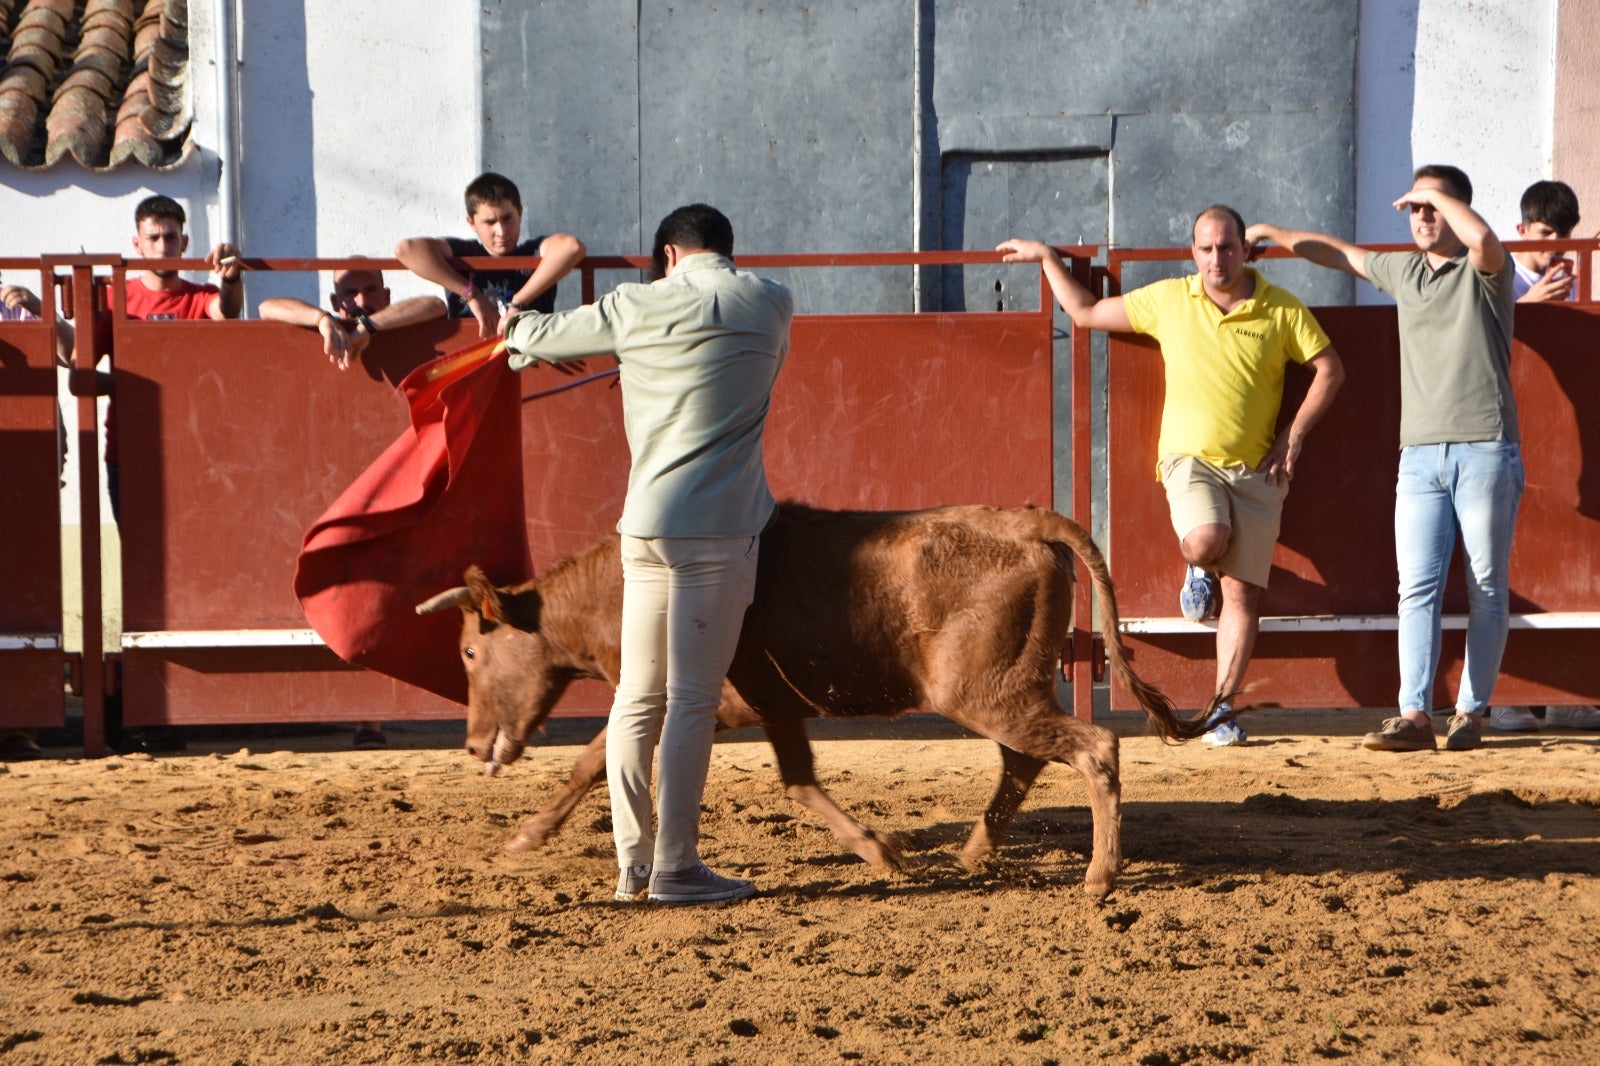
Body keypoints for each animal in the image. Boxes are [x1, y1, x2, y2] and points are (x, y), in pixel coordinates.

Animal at [416, 502, 1209, 889]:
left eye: (469, 651)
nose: (473, 744)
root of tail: (1026, 520)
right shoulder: (772, 707)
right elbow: (796, 778)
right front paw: (881, 850)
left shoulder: (704, 700)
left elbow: (595, 755)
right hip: (1006, 690)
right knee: (1025, 761)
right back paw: (973, 852)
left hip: (989, 693)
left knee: (1092, 746)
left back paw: (1100, 878)